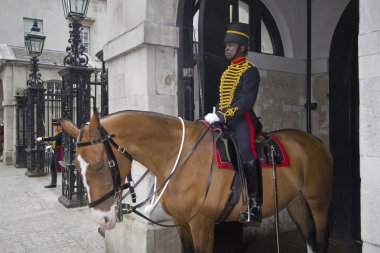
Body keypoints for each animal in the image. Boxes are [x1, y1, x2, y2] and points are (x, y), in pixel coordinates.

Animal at [59, 110, 332, 253]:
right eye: (77, 168)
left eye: (100, 165)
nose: (102, 220)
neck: (178, 158)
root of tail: (314, 140)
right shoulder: (182, 222)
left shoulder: (202, 224)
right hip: (296, 201)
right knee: (309, 236)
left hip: (318, 201)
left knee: (320, 236)